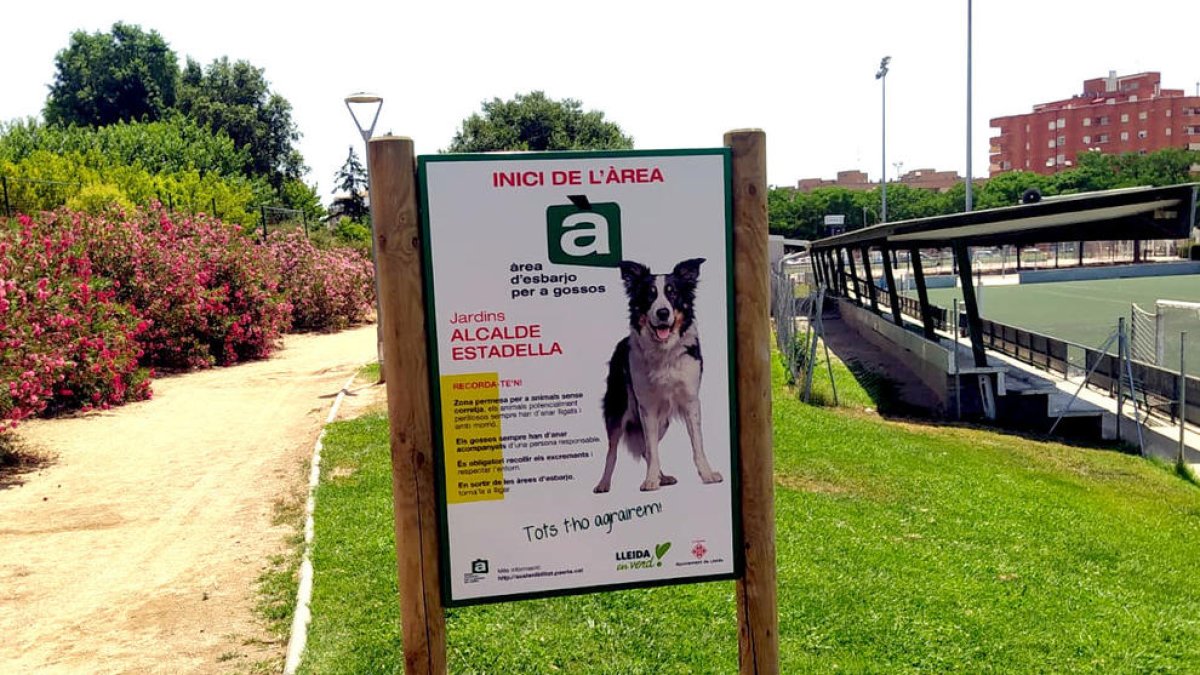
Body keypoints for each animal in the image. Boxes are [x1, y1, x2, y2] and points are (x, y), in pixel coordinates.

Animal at [590, 254, 720, 492]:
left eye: (673, 293)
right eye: (649, 294)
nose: (663, 312)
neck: (665, 352)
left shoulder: (691, 400)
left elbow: (697, 444)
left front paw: (707, 474)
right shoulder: (647, 406)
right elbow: (650, 448)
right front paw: (650, 480)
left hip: (663, 421)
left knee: (645, 450)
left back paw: (663, 477)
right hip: (618, 408)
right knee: (614, 451)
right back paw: (604, 483)